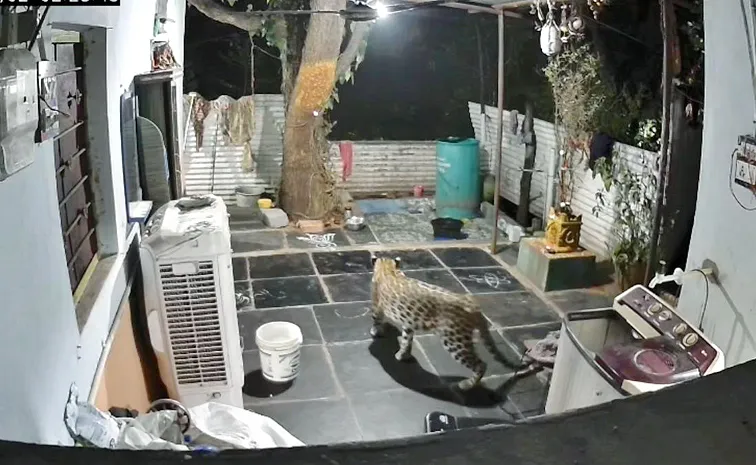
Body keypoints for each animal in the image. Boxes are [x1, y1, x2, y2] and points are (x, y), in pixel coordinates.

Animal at [370, 255, 529, 391]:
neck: (388, 269)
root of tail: (473, 305)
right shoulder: (409, 323)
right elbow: (407, 339)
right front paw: (403, 355)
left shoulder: (377, 308)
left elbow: (376, 321)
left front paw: (375, 332)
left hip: (455, 341)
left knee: (480, 364)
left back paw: (466, 385)